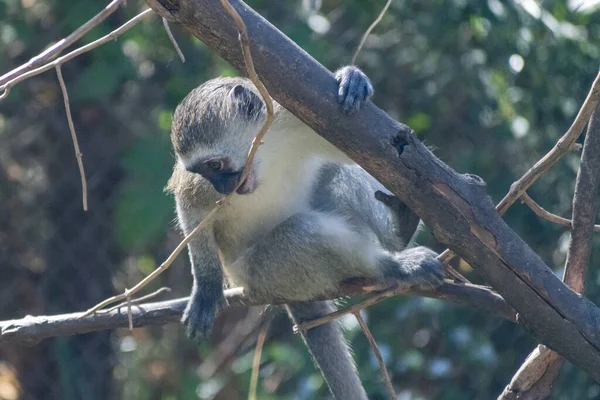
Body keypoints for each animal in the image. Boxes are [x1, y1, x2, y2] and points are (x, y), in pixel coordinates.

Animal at [166, 67, 442, 398]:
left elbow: (363, 155)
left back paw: (399, 233)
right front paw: (207, 287)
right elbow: (191, 207)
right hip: (262, 277)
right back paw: (393, 267)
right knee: (302, 230)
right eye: (205, 171)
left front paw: (351, 78)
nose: (223, 188)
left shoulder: (298, 118)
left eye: (215, 164)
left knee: (335, 171)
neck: (265, 149)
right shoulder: (198, 187)